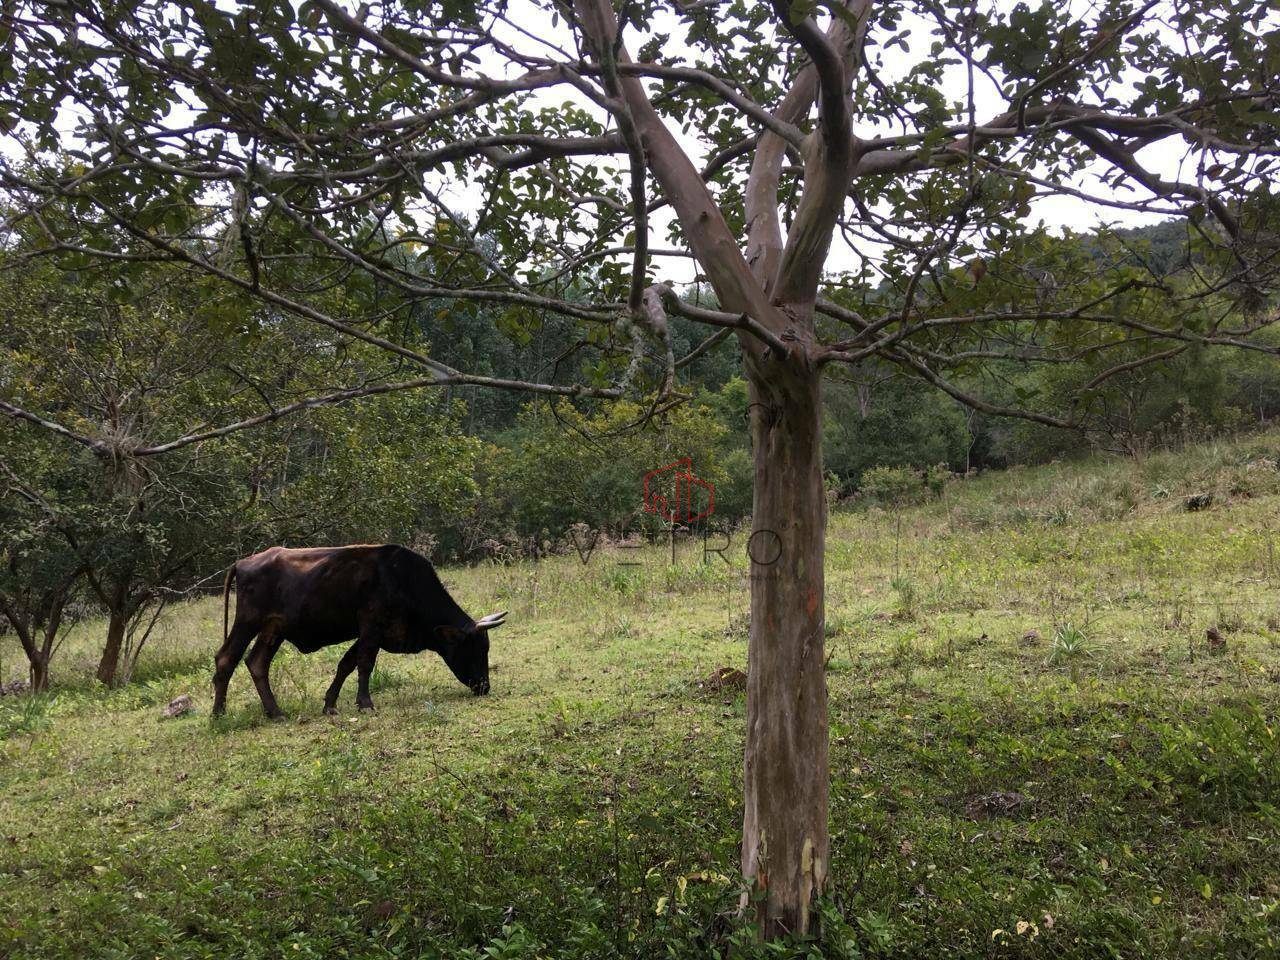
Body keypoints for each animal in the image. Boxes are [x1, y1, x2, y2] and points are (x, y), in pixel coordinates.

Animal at [212, 545, 506, 716]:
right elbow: (364, 664)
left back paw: (275, 712)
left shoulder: (370, 633)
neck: (403, 580)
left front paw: (330, 703)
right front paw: (365, 702)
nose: (484, 686)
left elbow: (346, 664)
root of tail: (243, 562)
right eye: (474, 649)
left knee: (257, 663)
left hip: (274, 629)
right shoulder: (370, 625)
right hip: (247, 622)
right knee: (226, 659)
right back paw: (218, 713)